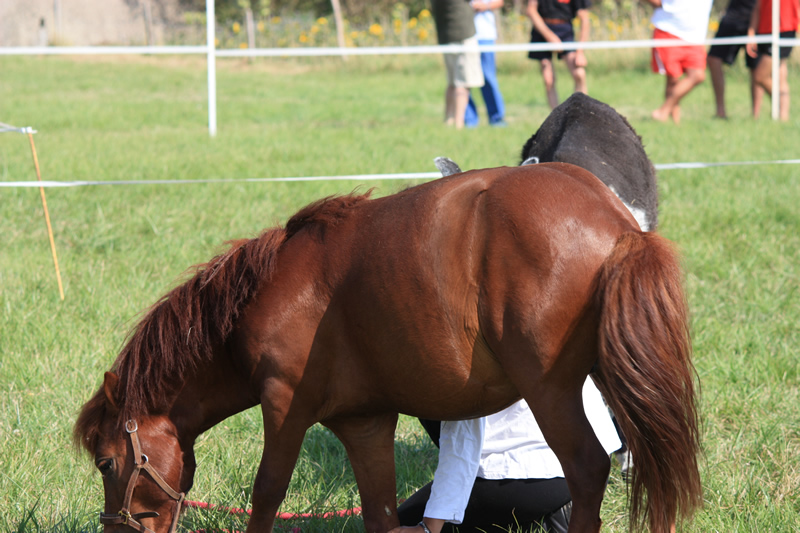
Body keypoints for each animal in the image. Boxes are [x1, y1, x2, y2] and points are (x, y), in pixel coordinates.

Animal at [73, 163, 700, 532]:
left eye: (106, 461)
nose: (116, 528)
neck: (269, 289)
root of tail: (618, 222)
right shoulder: (365, 424)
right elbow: (378, 513)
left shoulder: (285, 408)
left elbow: (266, 493)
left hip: (551, 392)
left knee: (589, 470)